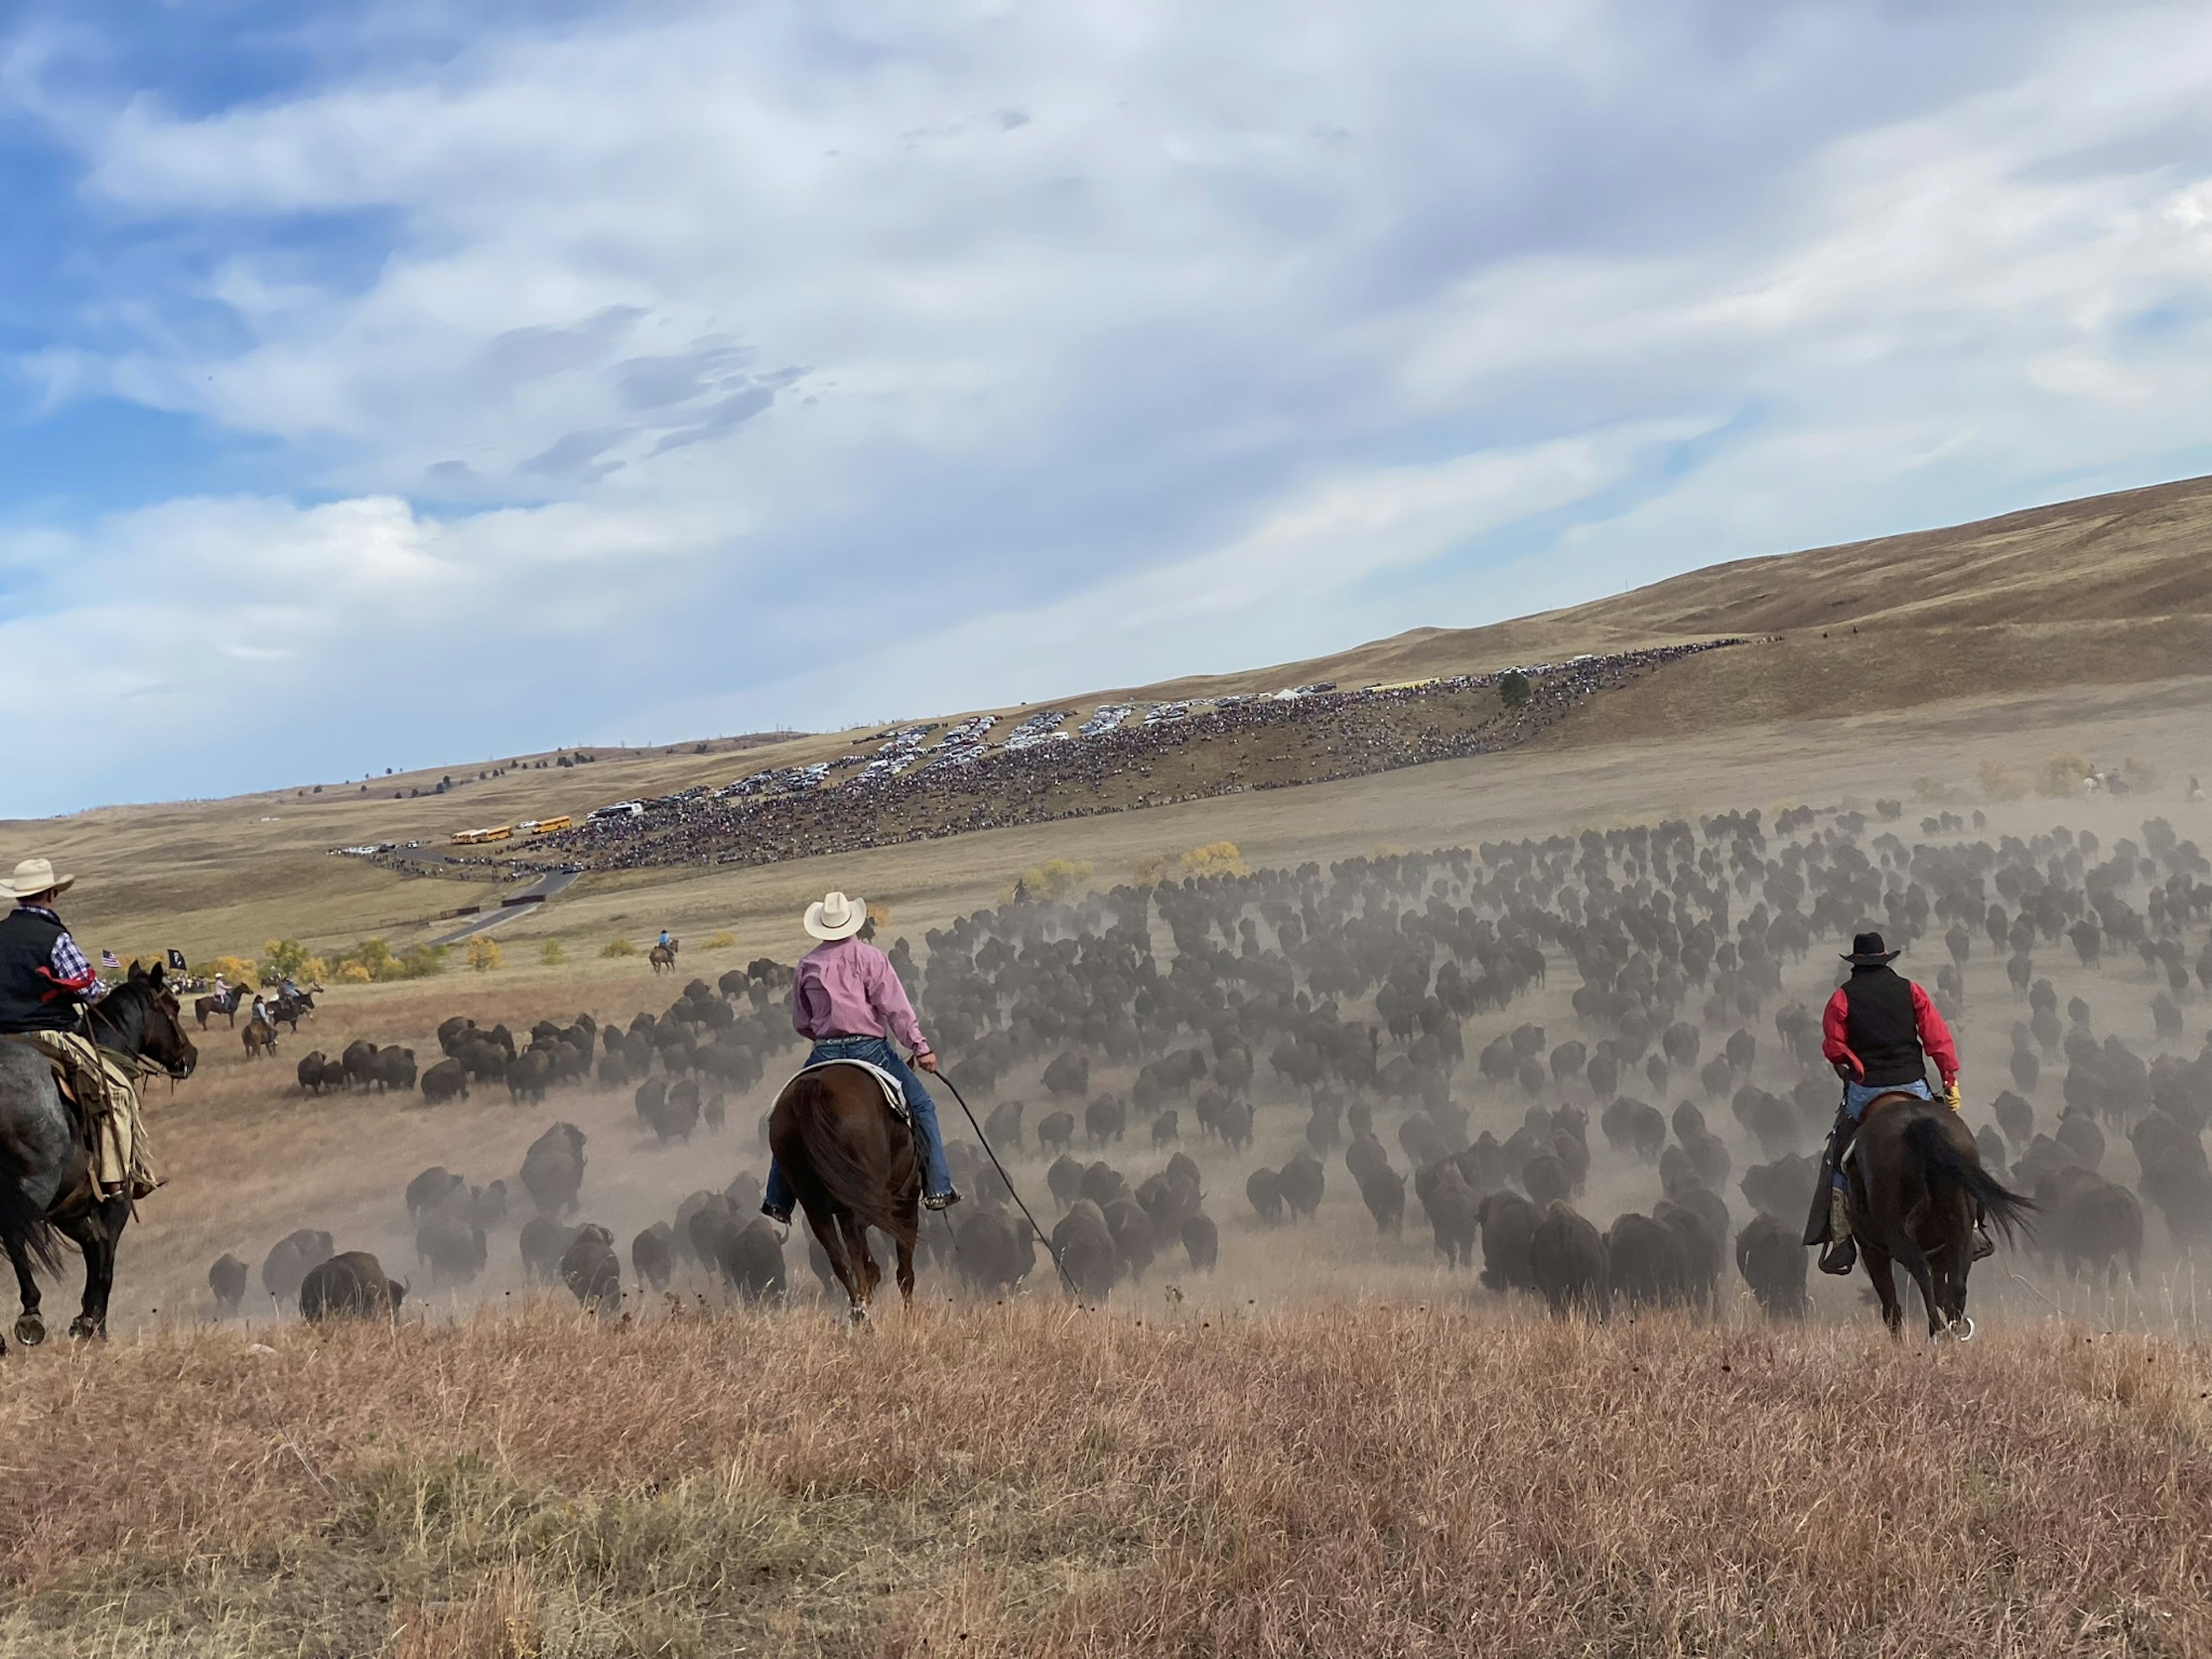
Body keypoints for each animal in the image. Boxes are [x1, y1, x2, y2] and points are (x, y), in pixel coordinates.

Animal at [0, 968, 199, 1354]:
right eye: (173, 1006)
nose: (190, 1055)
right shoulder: (114, 1196)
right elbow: (106, 1256)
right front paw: (93, 1324)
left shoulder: (71, 1210)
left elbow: (94, 1249)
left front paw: (85, 1320)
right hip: (33, 1187)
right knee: (13, 1239)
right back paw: (31, 1316)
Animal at [770, 1066, 915, 1327]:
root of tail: (814, 1088)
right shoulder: (908, 1197)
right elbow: (905, 1268)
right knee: (855, 1240)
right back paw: (864, 1307)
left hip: (813, 1202)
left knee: (839, 1255)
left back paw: (859, 1309)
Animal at [1840, 1097, 2026, 1344]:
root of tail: (1916, 1124)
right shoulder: (1939, 1252)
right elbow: (1941, 1292)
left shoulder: (1871, 1250)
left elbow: (1891, 1305)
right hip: (1960, 1229)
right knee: (1956, 1282)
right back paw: (1955, 1330)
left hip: (1897, 1235)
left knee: (1920, 1270)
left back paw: (1937, 1330)